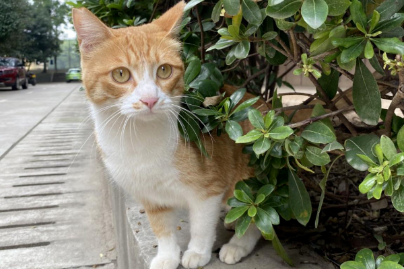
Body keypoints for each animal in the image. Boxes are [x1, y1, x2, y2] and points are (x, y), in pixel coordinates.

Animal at [72, 1, 262, 266]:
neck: (139, 140)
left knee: (256, 218)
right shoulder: (151, 197)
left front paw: (197, 253)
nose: (150, 99)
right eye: (120, 74)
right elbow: (162, 229)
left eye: (164, 70)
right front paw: (167, 257)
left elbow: (202, 225)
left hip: (248, 178)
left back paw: (237, 245)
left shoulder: (208, 191)